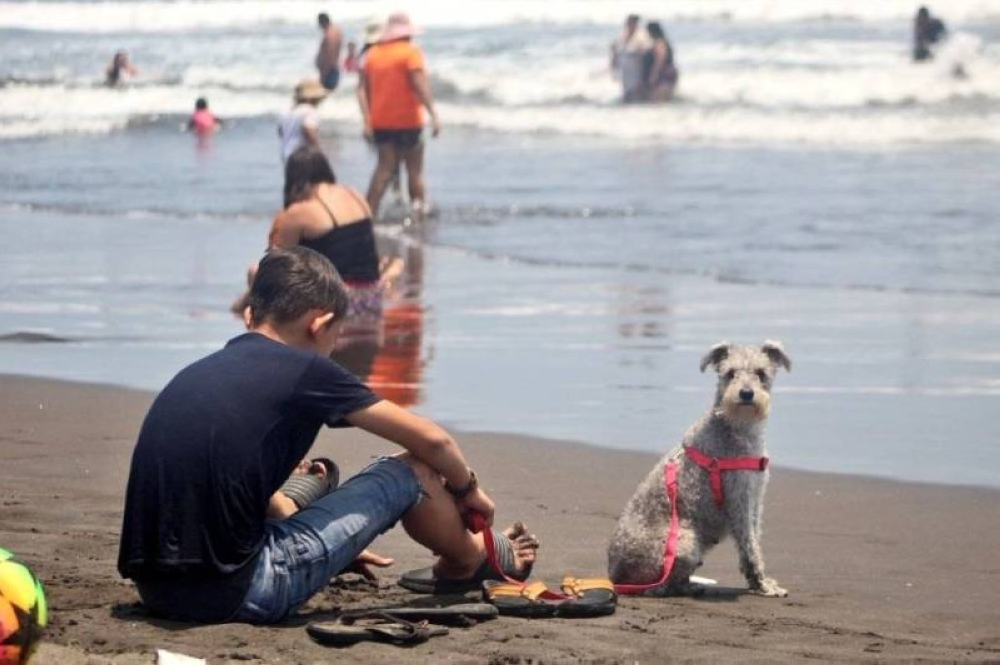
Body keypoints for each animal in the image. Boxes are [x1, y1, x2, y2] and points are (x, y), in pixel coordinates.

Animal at [608, 342, 788, 596]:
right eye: (730, 373)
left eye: (761, 373)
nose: (746, 393)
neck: (734, 426)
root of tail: (615, 576)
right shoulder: (738, 498)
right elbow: (749, 546)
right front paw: (761, 584)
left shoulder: (754, 496)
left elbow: (754, 539)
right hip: (684, 541)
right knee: (657, 587)